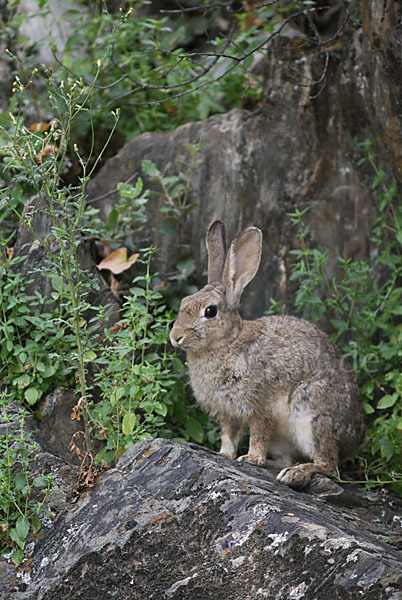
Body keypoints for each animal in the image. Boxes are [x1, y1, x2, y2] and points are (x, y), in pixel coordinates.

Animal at [170, 218, 364, 490]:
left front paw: (252, 458)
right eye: (184, 303)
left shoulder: (259, 407)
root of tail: (357, 439)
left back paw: (295, 474)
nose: (175, 336)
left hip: (311, 413)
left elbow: (257, 433)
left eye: (210, 311)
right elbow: (228, 435)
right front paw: (225, 455)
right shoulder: (227, 413)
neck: (226, 343)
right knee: (288, 459)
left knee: (328, 464)